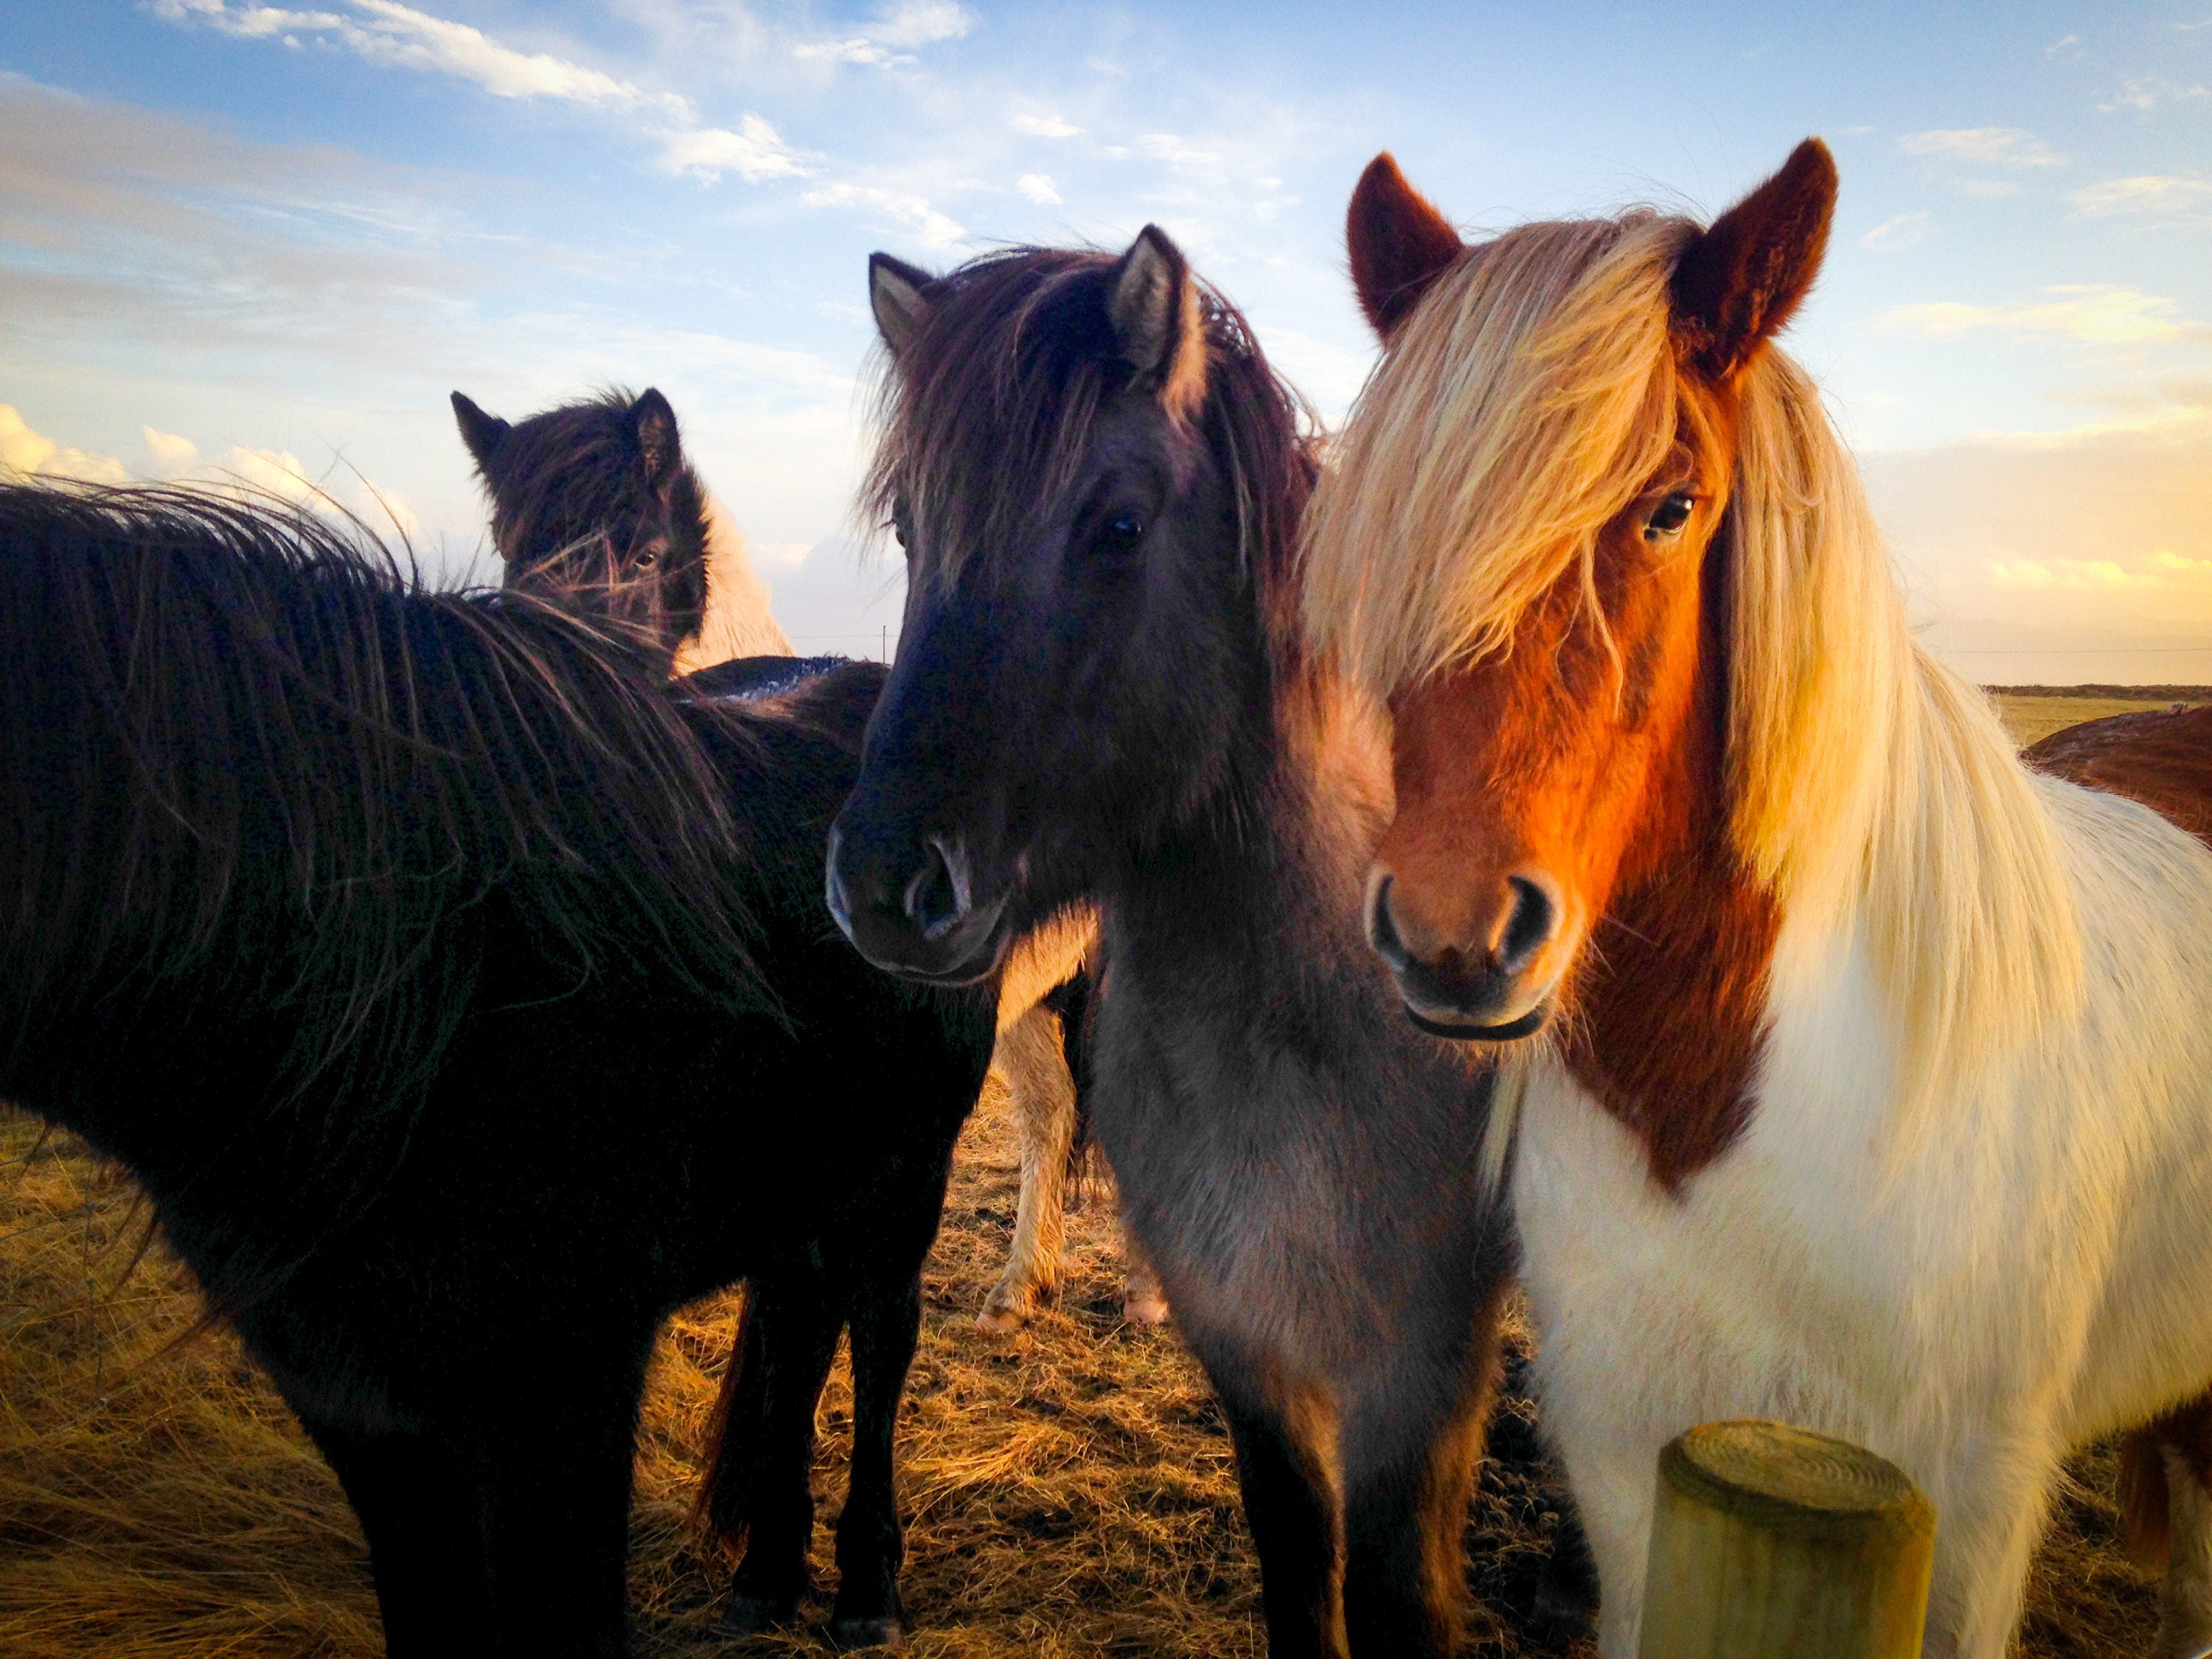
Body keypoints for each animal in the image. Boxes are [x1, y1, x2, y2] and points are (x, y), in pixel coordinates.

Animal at [0, 478, 997, 1655]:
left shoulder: (566, 1397)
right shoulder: (366, 1412)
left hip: (905, 1180)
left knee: (882, 1341)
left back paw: (865, 1586)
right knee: (799, 1332)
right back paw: (766, 1573)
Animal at [821, 230, 1514, 1658]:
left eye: (1120, 526)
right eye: (914, 527)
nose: (879, 884)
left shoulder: (1420, 1379)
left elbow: (1404, 1596)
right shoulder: (1256, 1362)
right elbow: (1300, 1573)